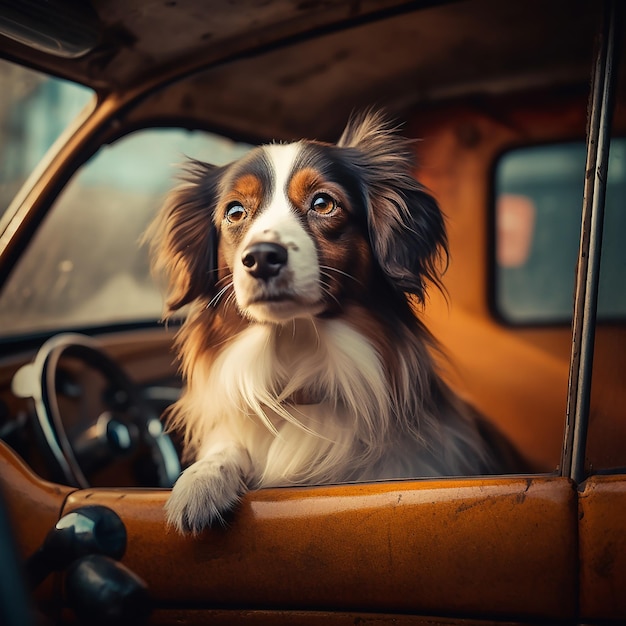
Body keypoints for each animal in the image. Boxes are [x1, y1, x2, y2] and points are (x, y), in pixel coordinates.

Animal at [147, 108, 520, 532]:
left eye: (323, 203)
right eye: (235, 212)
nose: (261, 257)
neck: (298, 351)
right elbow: (226, 447)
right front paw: (201, 480)